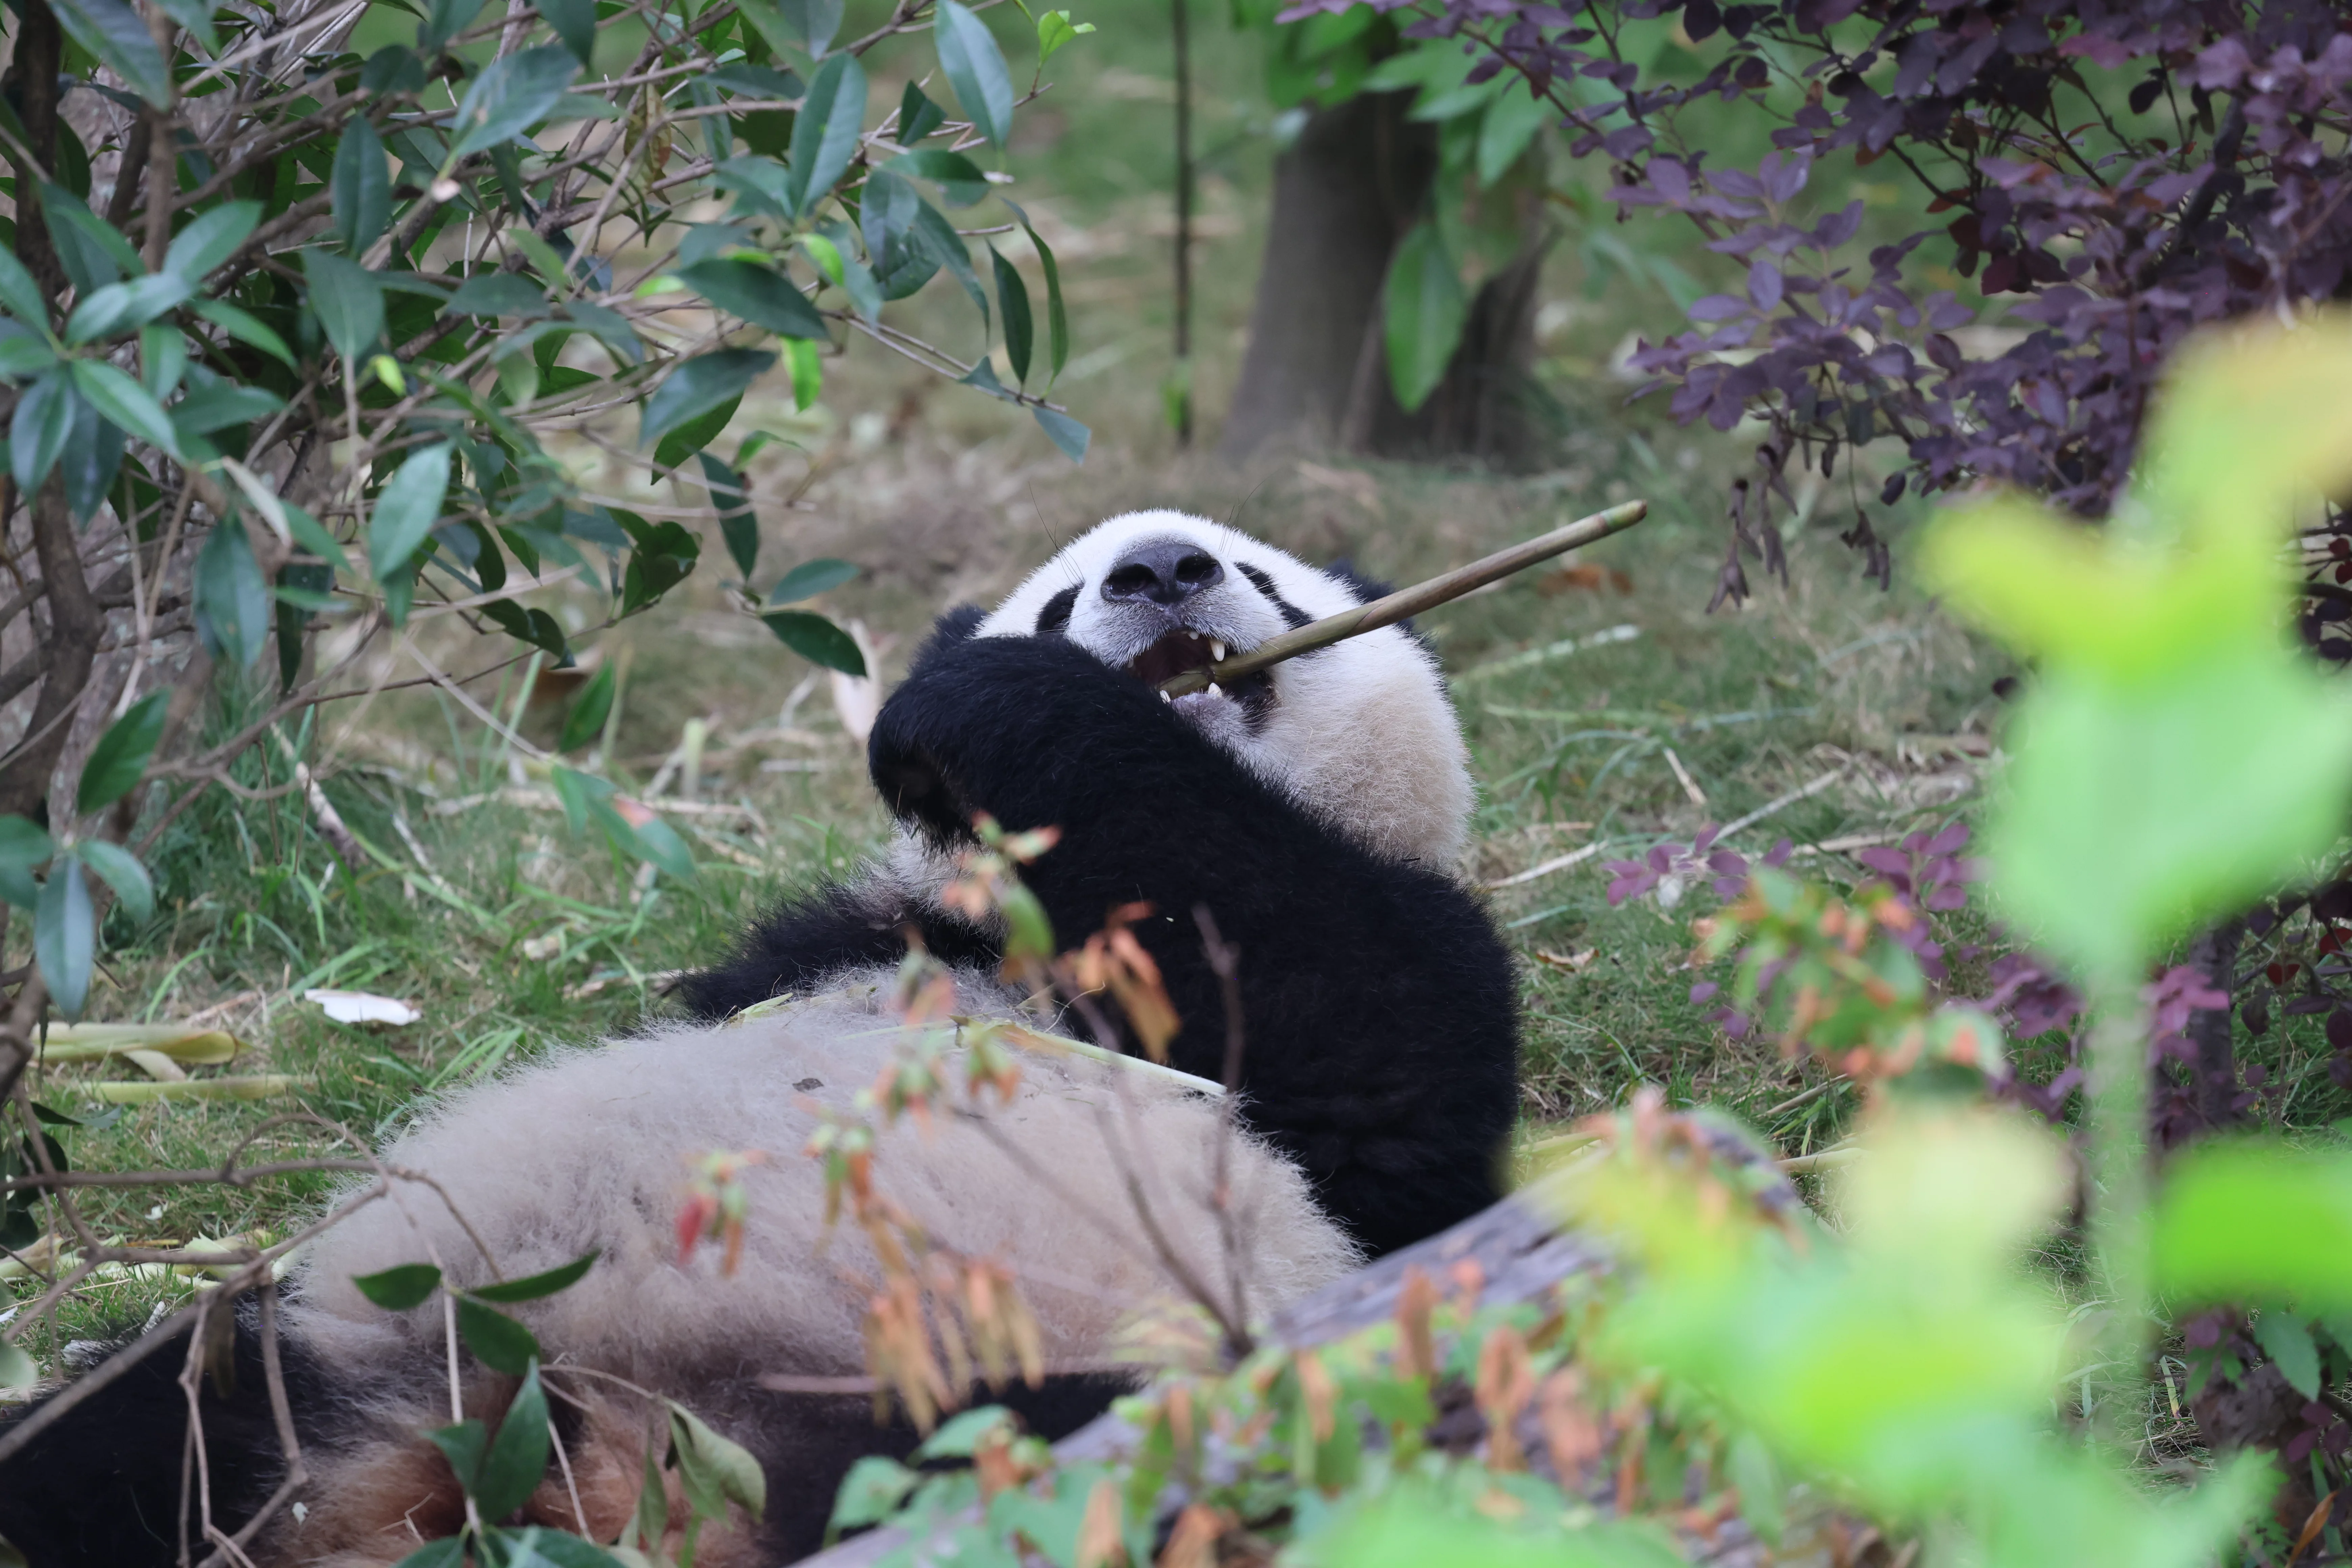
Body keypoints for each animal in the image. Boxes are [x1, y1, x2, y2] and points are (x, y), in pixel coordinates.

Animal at [0, 511, 1520, 1568]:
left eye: (1265, 573)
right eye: (1062, 591)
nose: (1158, 570)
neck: (1031, 931)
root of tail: (608, 1461)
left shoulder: (1397, 1001)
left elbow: (1347, 1002)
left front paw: (988, 710)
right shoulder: (820, 946)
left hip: (998, 1383)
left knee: (1021, 1458)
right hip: (370, 1356)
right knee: (143, 1426)